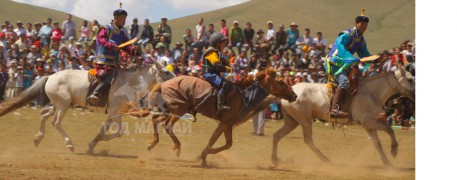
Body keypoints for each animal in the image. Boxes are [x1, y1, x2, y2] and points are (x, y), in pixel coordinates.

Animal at [0, 62, 175, 153]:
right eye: (166, 72)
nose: (177, 81)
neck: (130, 83)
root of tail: (50, 76)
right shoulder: (115, 114)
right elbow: (119, 132)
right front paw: (98, 141)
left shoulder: (112, 114)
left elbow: (104, 130)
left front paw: (92, 144)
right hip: (63, 105)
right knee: (56, 122)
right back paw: (69, 144)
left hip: (59, 104)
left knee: (44, 115)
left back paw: (38, 139)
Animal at [123, 68, 298, 167]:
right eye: (281, 82)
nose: (294, 95)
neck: (243, 96)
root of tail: (163, 84)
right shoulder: (227, 123)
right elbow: (227, 144)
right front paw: (204, 155)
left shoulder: (223, 124)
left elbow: (215, 140)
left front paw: (203, 156)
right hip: (178, 109)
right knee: (166, 125)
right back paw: (176, 147)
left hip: (168, 109)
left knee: (155, 121)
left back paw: (152, 144)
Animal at [268, 64, 416, 167]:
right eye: (410, 79)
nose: (415, 94)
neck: (371, 93)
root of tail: (288, 92)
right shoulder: (369, 122)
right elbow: (389, 129)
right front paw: (394, 150)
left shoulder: (369, 125)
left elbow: (377, 143)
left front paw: (387, 162)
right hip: (305, 121)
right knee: (308, 140)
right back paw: (326, 160)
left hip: (292, 122)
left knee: (276, 136)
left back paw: (275, 160)